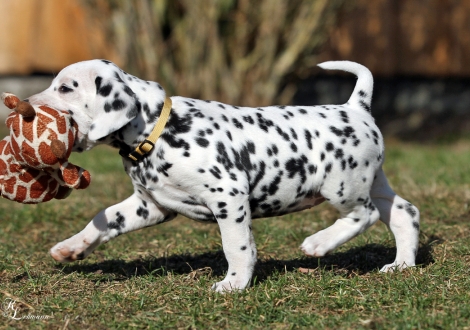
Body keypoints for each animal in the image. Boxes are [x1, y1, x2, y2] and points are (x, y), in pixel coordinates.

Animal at [27, 59, 420, 292]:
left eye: (66, 88)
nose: (24, 106)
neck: (158, 129)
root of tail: (355, 106)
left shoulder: (228, 198)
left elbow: (237, 246)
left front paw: (234, 284)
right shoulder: (150, 205)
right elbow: (103, 218)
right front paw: (71, 247)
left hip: (342, 185)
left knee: (365, 214)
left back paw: (319, 243)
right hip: (374, 183)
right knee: (404, 212)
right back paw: (401, 264)